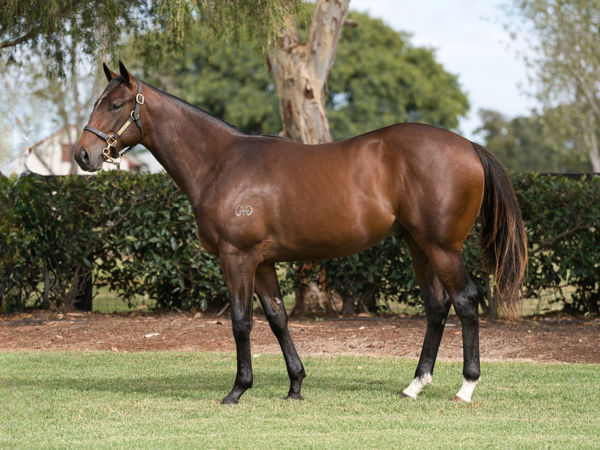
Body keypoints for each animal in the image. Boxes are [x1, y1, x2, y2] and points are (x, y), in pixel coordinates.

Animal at [74, 62, 524, 404]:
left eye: (115, 104)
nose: (83, 155)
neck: (220, 162)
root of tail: (468, 146)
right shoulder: (263, 262)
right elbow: (278, 318)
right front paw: (295, 386)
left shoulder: (237, 257)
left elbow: (241, 321)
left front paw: (237, 390)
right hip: (418, 244)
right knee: (436, 306)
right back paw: (414, 385)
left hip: (443, 247)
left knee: (465, 301)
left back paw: (465, 387)